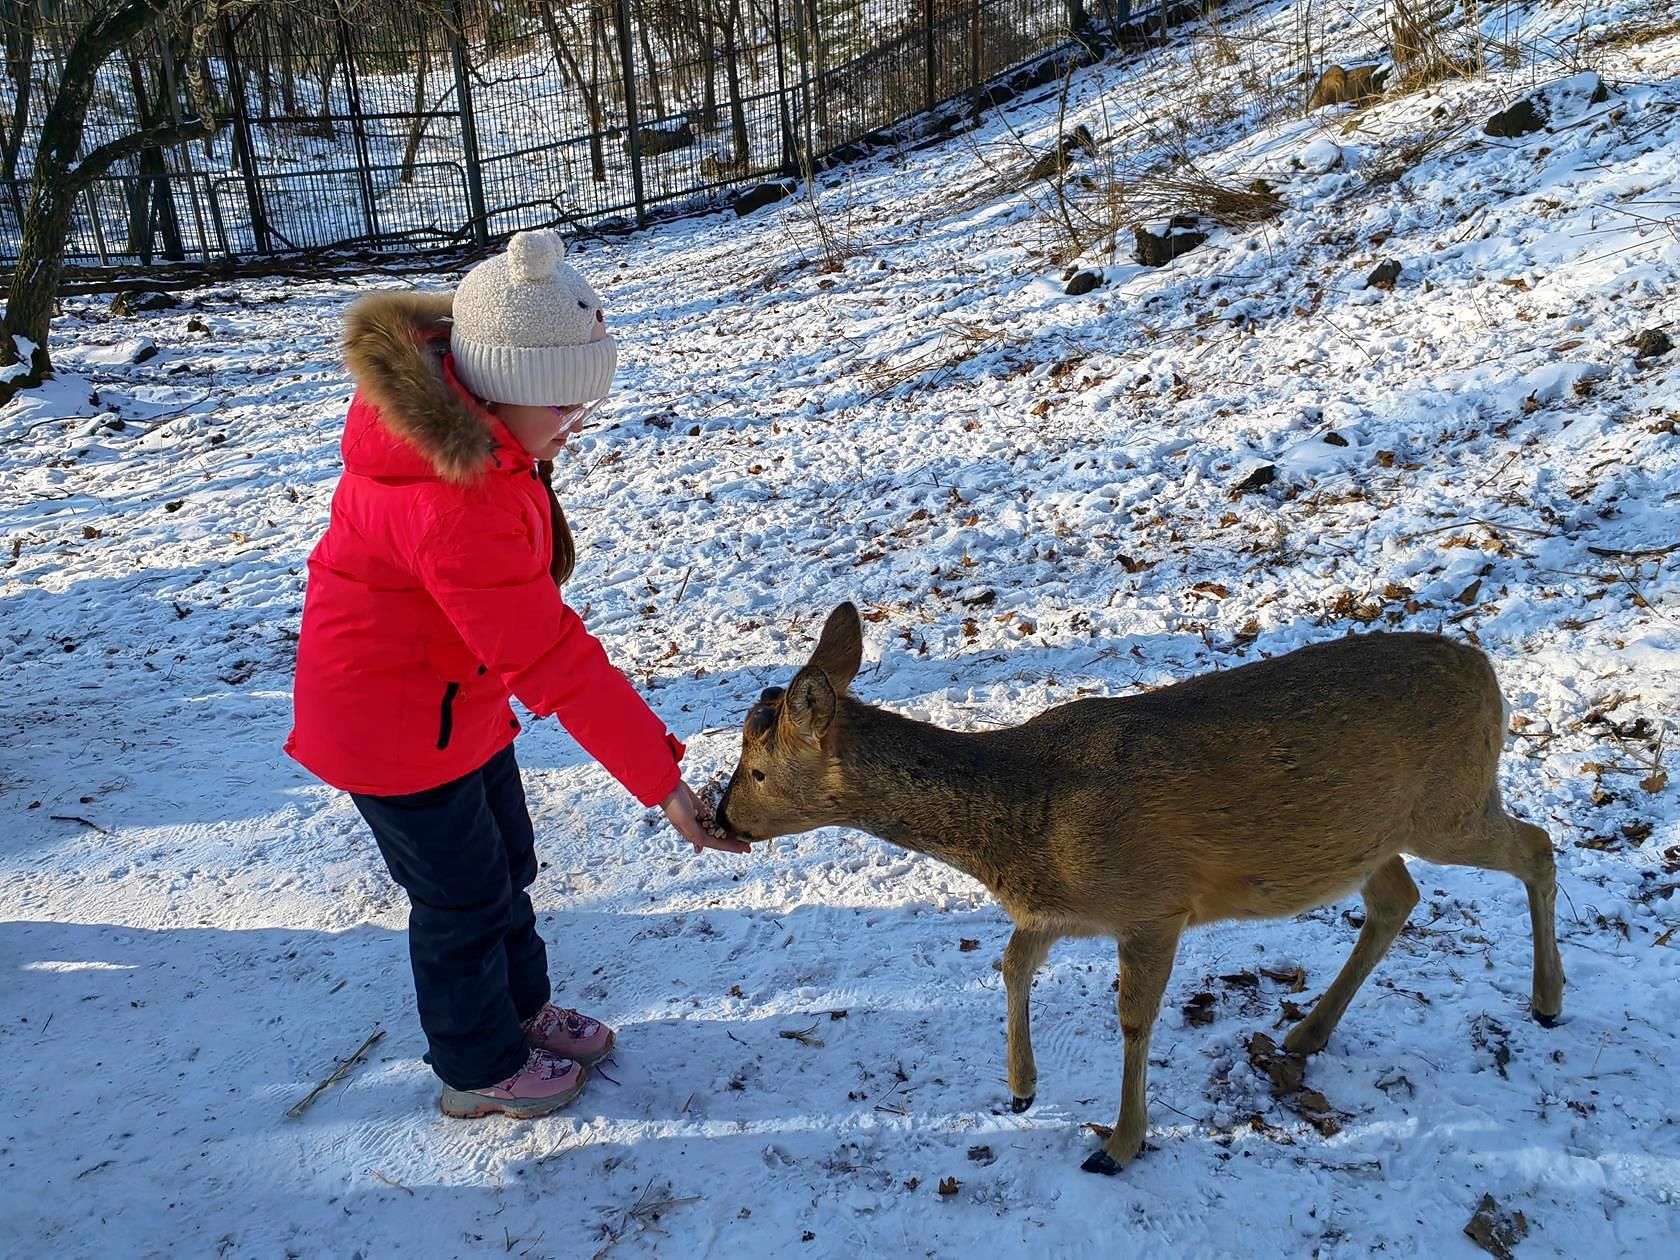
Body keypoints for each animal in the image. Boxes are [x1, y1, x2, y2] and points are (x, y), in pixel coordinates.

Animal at [715, 608, 1565, 1182]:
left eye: (755, 769)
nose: (721, 816)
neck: (1026, 825)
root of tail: (1487, 672)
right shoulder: (1063, 910)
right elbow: (1011, 963)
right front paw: (1022, 1090)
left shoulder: (1154, 903)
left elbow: (1131, 1020)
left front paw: (1119, 1145)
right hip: (1370, 836)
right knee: (1398, 897)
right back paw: (1306, 1034)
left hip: (1449, 804)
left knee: (1536, 846)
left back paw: (1548, 1000)